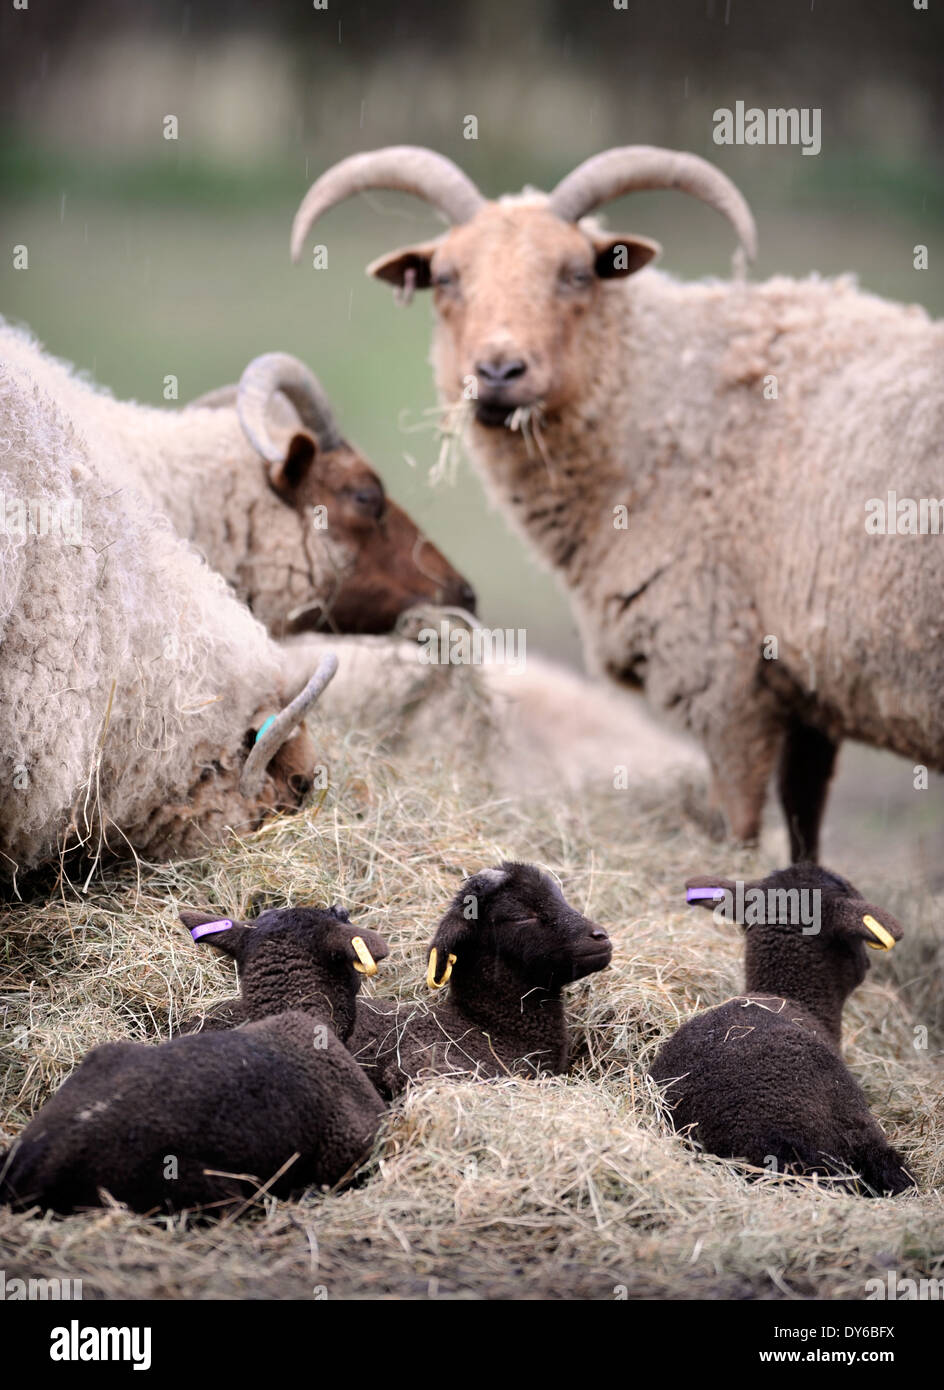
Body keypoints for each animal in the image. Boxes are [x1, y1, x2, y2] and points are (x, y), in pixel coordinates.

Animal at [290, 145, 944, 861]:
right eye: (446, 278)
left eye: (577, 274)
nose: (498, 373)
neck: (667, 404)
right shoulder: (806, 691)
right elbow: (804, 831)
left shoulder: (726, 678)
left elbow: (741, 831)